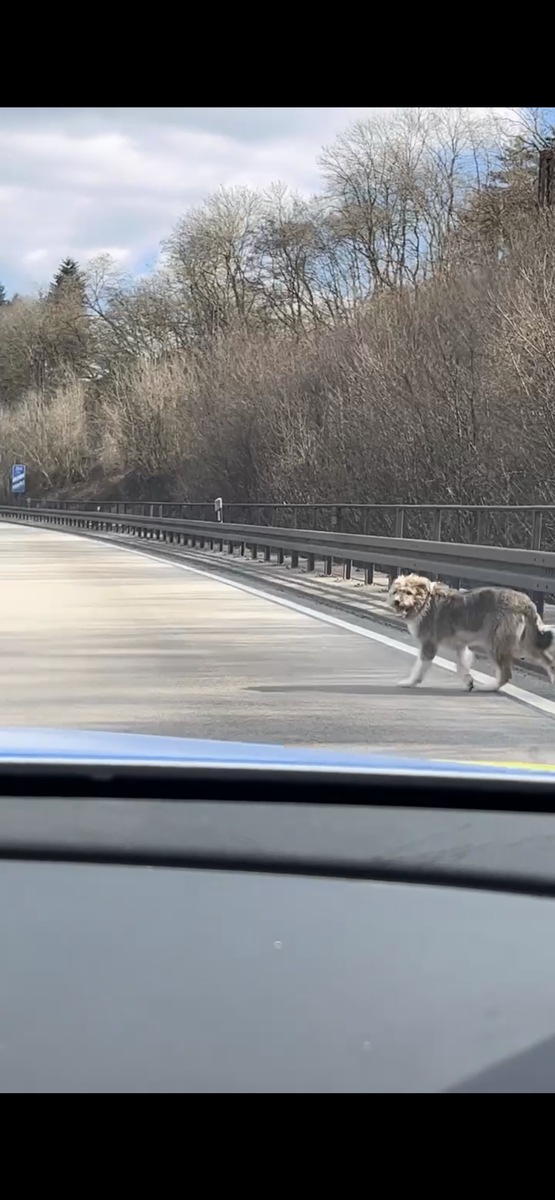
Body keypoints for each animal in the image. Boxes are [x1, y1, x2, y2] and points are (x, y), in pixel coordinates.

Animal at [389, 573, 552, 691]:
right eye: (396, 591)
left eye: (408, 592)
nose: (396, 601)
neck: (425, 602)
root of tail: (526, 602)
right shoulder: (460, 646)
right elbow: (461, 666)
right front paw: (468, 680)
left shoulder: (429, 645)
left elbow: (419, 667)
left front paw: (410, 682)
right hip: (527, 643)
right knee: (549, 661)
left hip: (496, 644)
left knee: (506, 674)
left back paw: (489, 687)